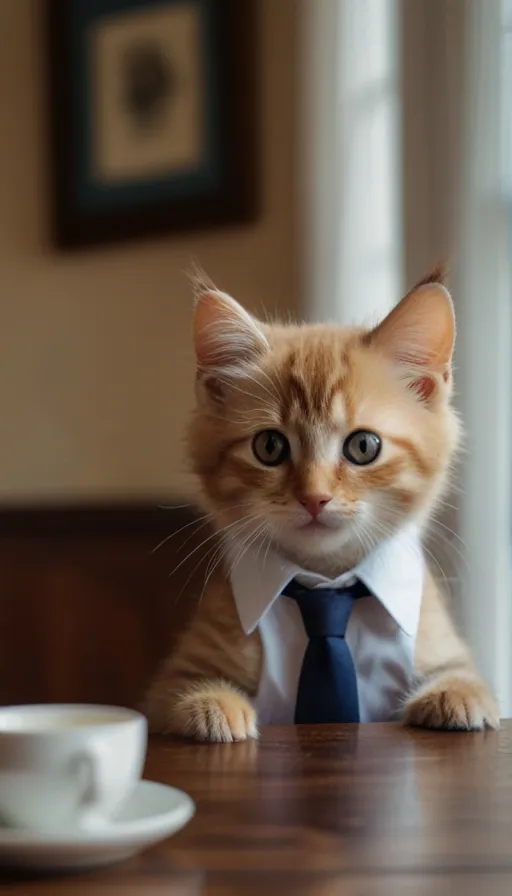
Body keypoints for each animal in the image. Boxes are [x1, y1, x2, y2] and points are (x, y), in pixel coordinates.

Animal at [146, 268, 498, 744]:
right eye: (270, 447)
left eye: (364, 446)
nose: (314, 497)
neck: (326, 585)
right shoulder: (174, 678)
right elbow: (174, 698)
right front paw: (209, 704)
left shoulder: (445, 648)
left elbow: (467, 678)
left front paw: (455, 695)